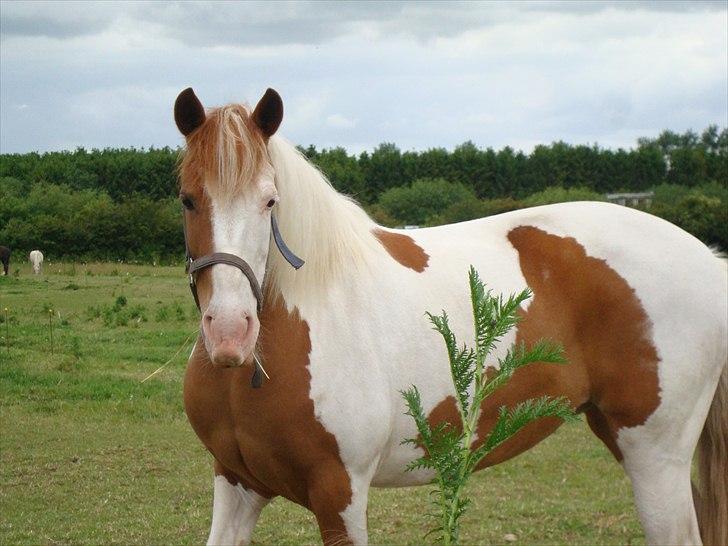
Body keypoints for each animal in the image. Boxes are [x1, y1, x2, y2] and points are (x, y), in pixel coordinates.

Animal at [176, 88, 728, 544]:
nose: (230, 332)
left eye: (270, 201)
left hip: (655, 458)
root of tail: (708, 258)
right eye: (187, 199)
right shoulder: (237, 485)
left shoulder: (339, 496)